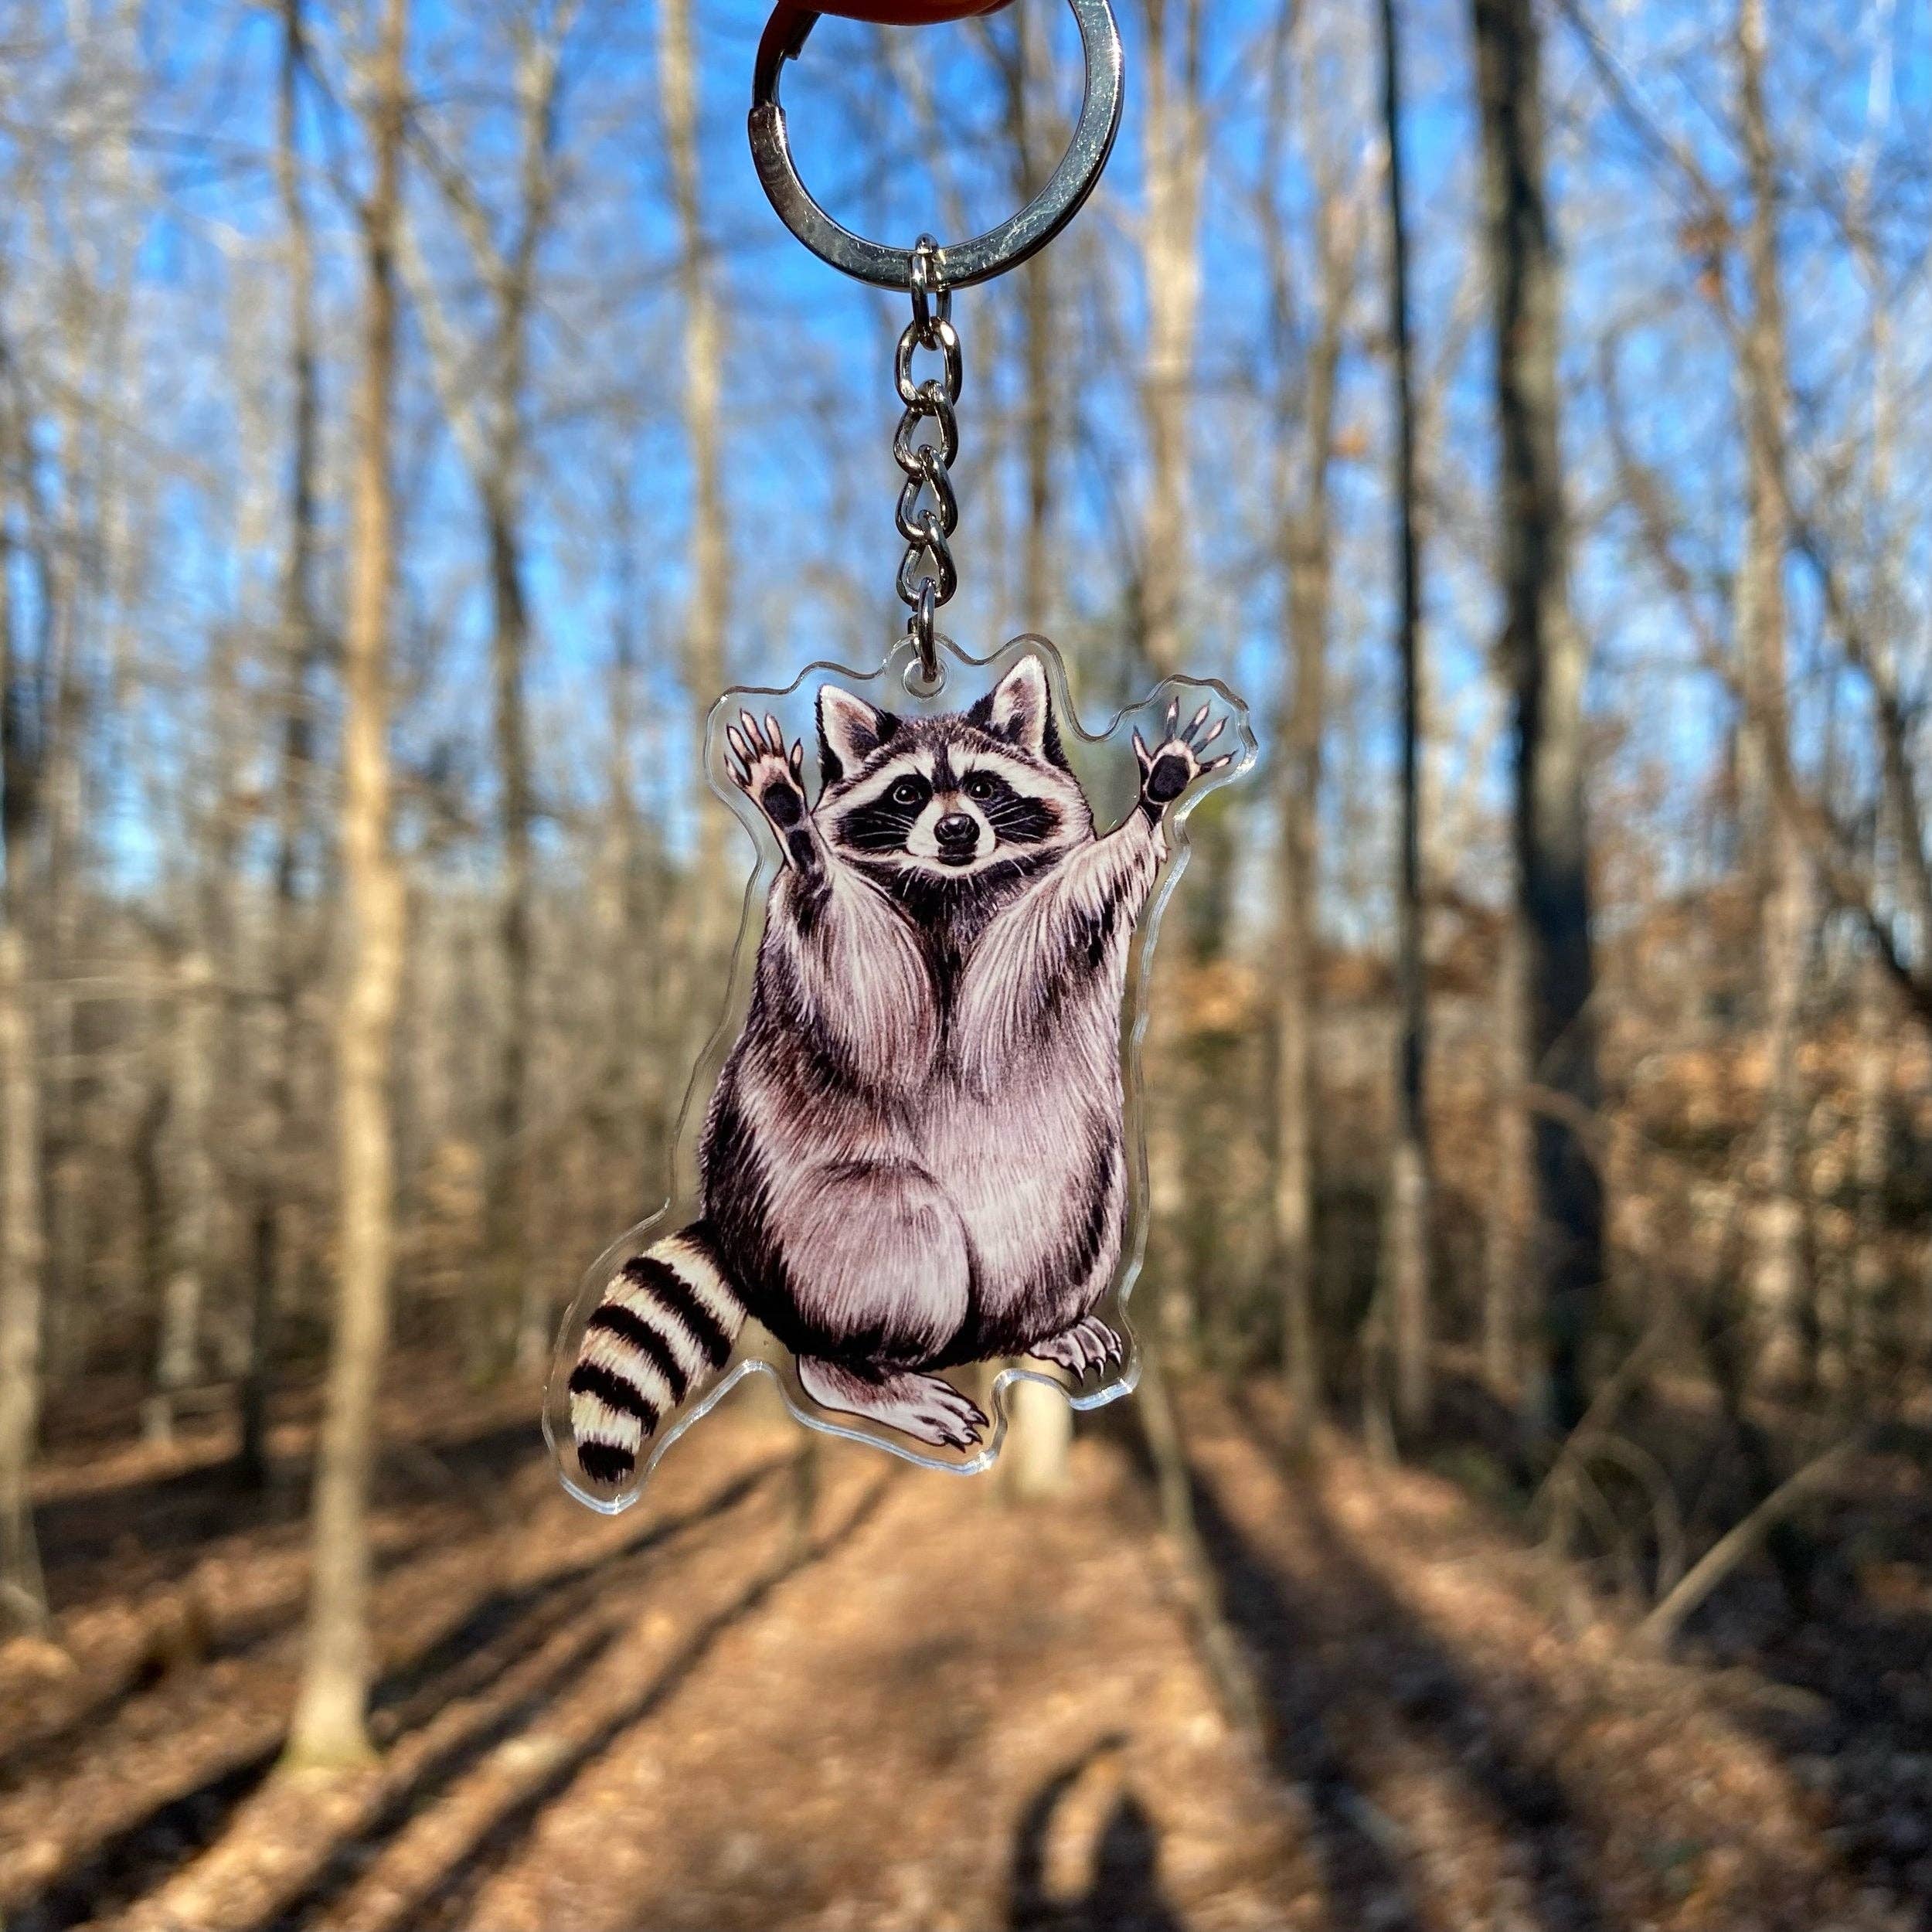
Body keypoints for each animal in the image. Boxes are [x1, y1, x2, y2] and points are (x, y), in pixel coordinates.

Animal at [568, 655, 1230, 1488]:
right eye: (908, 793)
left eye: (982, 787)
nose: (956, 830)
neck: (952, 885)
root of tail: (738, 1235)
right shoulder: (841, 958)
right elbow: (867, 985)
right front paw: (797, 831)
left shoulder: (1034, 924)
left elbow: (1070, 909)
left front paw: (1153, 801)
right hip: (814, 1228)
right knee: (900, 1224)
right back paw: (859, 1370)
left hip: (1077, 1195)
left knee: (1070, 1215)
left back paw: (1044, 1326)